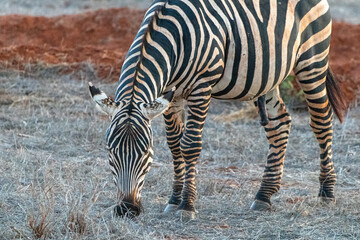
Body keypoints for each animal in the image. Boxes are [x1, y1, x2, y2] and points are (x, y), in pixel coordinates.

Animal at [88, 0, 348, 219]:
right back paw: (264, 195)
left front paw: (186, 206)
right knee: (279, 123)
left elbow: (190, 146)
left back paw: (327, 192)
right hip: (271, 74)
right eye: (110, 152)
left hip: (312, 60)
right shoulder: (172, 95)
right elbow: (174, 146)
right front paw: (173, 200)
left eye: (145, 153)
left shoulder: (201, 88)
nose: (127, 210)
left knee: (322, 121)